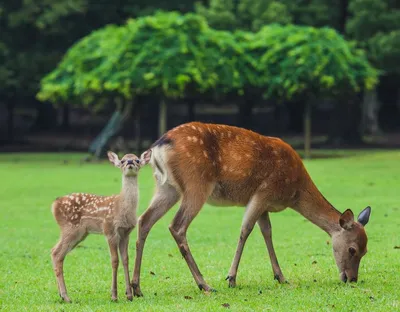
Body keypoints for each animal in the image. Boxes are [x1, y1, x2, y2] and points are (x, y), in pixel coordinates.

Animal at [51, 151, 142, 302]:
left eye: (138, 160)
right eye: (122, 161)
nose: (130, 162)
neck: (122, 206)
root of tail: (54, 205)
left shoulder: (126, 232)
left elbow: (125, 259)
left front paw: (129, 295)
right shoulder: (109, 229)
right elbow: (114, 260)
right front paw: (114, 295)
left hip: (80, 233)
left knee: (56, 253)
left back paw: (62, 295)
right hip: (71, 228)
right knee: (56, 253)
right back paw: (66, 296)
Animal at [134, 122, 372, 294]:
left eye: (366, 251)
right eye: (352, 249)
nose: (351, 279)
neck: (294, 190)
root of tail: (158, 147)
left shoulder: (264, 204)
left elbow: (267, 232)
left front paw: (281, 277)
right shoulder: (263, 191)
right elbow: (246, 230)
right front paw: (231, 278)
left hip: (166, 187)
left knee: (144, 220)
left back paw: (135, 288)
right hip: (196, 184)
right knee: (177, 226)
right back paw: (204, 284)